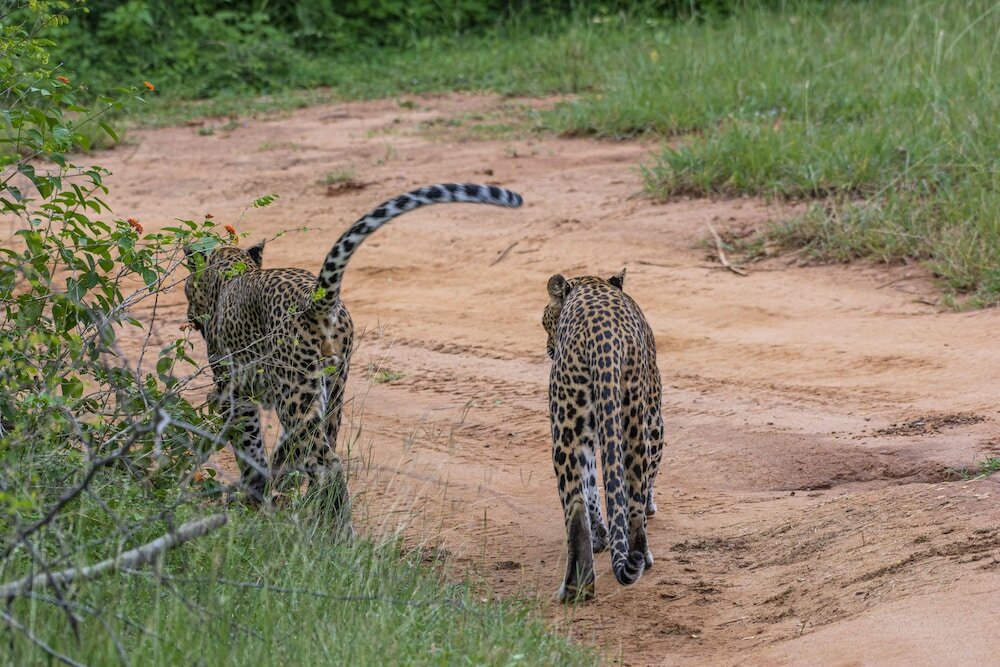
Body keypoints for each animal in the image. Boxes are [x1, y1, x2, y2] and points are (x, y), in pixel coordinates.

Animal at [184, 183, 523, 529]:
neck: (230, 270)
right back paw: (319, 517)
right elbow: (280, 453)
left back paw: (336, 531)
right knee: (324, 450)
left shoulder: (235, 393)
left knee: (326, 462)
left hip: (295, 393)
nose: (190, 312)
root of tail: (315, 301)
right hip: (330, 390)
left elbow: (249, 445)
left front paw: (253, 494)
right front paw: (272, 486)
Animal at [542, 267, 664, 602]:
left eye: (545, 320)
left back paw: (578, 587)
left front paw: (603, 537)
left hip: (570, 422)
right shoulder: (655, 420)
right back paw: (637, 557)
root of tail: (603, 338)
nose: (548, 348)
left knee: (577, 505)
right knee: (630, 497)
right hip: (632, 418)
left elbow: (593, 488)